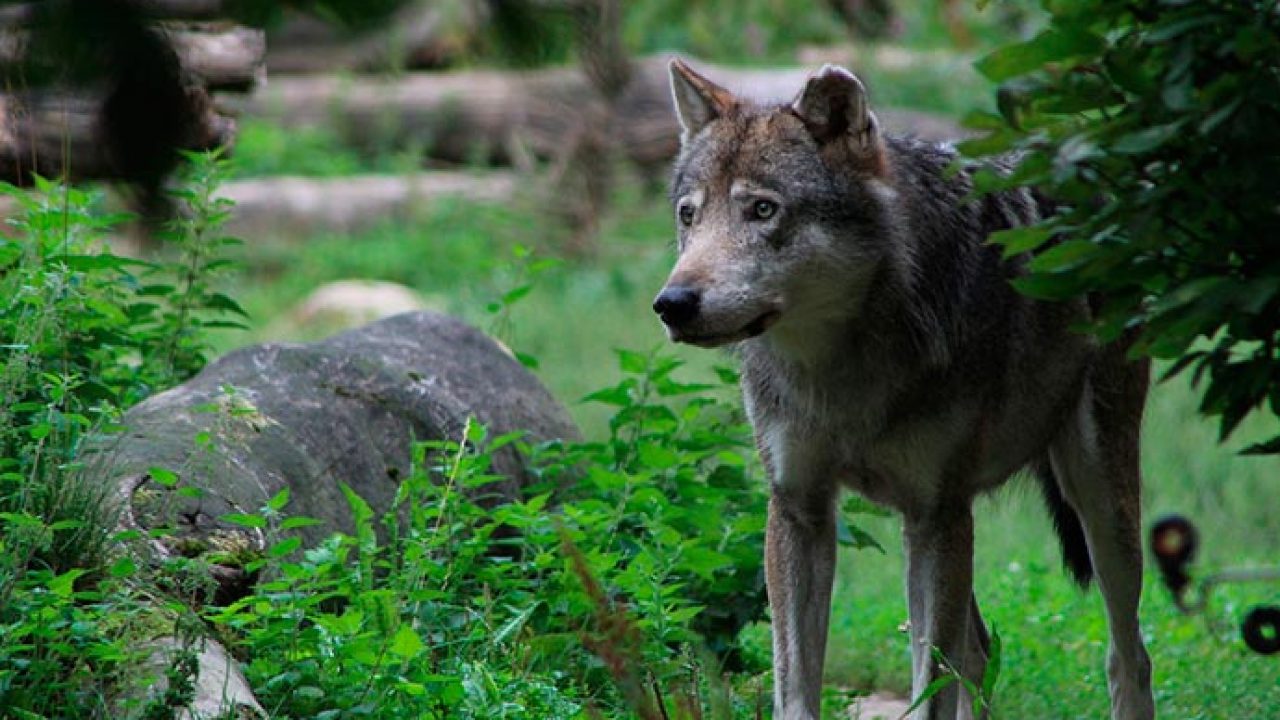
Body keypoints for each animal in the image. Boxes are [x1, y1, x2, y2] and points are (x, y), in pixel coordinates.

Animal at [655, 57, 1157, 717]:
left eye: (763, 210)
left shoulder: (934, 514)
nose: (672, 303)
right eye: (690, 215)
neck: (843, 373)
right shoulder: (799, 510)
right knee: (980, 651)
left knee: (1128, 657)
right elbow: (798, 690)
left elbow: (930, 689)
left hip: (1097, 503)